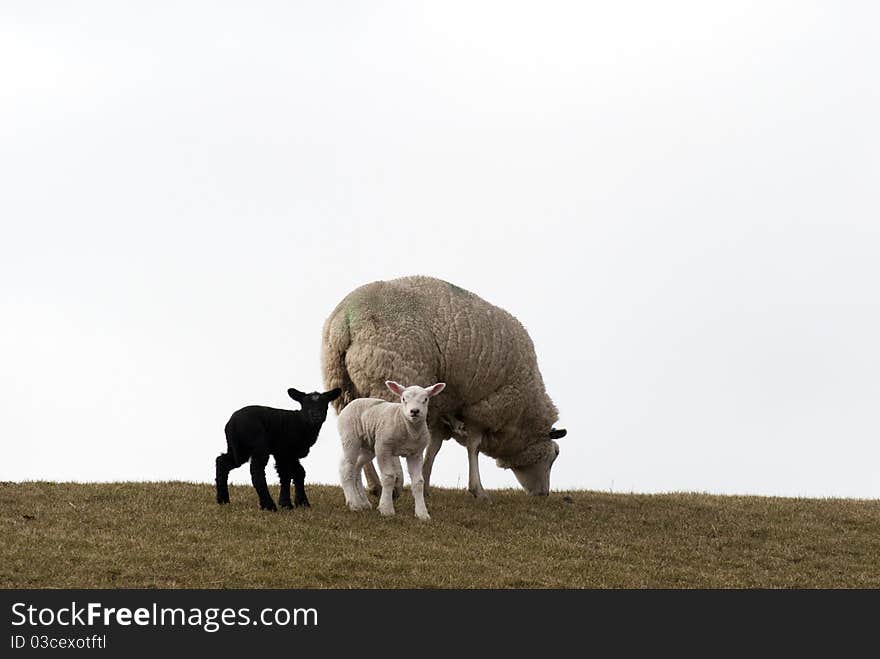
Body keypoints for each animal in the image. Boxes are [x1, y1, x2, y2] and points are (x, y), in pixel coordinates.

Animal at [320, 276, 568, 498]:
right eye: (554, 455)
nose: (543, 494)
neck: (524, 412)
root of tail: (343, 324)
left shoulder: (440, 408)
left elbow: (434, 447)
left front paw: (426, 483)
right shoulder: (483, 408)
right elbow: (473, 447)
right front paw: (478, 490)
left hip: (342, 386)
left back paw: (375, 486)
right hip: (391, 375)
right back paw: (394, 484)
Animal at [336, 382, 446, 520]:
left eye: (425, 399)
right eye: (403, 399)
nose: (414, 411)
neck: (409, 430)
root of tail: (352, 402)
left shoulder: (416, 453)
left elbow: (418, 482)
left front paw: (422, 513)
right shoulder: (383, 447)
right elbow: (389, 477)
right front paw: (386, 509)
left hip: (368, 446)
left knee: (356, 467)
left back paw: (363, 502)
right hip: (350, 437)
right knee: (346, 467)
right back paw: (354, 504)